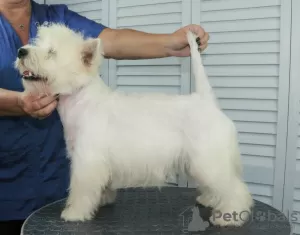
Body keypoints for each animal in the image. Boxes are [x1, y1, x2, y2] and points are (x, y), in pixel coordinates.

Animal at [14, 23, 253, 226]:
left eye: (51, 52)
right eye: (38, 43)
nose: (21, 52)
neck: (81, 97)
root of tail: (207, 100)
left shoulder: (87, 160)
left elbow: (81, 189)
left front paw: (74, 213)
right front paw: (103, 199)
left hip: (208, 158)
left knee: (234, 188)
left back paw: (229, 216)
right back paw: (210, 200)